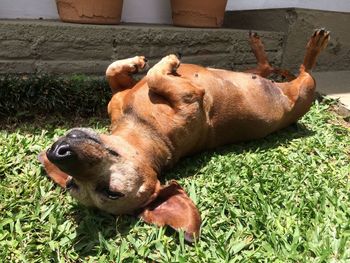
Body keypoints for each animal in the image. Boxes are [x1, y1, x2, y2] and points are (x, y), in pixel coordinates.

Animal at [39, 29, 330, 243]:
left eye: (70, 184)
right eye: (112, 193)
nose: (58, 152)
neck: (143, 129)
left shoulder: (122, 94)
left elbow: (116, 71)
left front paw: (138, 62)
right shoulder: (188, 97)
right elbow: (153, 76)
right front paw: (165, 61)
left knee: (267, 67)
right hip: (306, 89)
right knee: (304, 70)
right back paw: (314, 46)